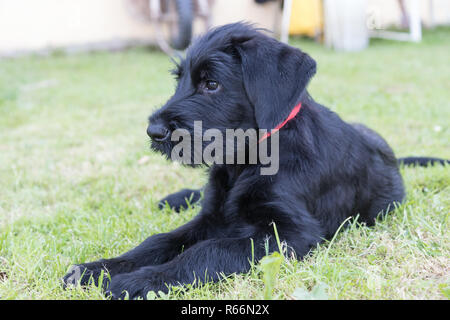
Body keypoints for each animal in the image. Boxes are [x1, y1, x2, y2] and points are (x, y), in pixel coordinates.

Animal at [64, 23, 450, 300]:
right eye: (180, 80)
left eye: (212, 83)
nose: (154, 131)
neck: (246, 160)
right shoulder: (212, 216)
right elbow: (160, 241)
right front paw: (98, 269)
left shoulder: (288, 235)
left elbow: (207, 251)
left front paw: (141, 281)